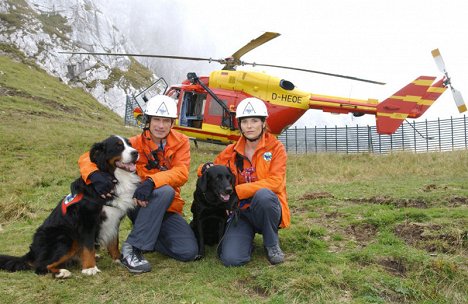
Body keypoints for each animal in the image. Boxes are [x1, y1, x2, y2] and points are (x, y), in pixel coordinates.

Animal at [0, 135, 139, 278]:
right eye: (118, 146)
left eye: (130, 144)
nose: (136, 153)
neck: (112, 177)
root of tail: (32, 252)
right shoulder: (87, 220)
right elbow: (88, 246)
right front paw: (90, 268)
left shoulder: (114, 218)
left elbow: (113, 242)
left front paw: (119, 259)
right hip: (65, 237)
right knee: (41, 266)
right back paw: (62, 272)